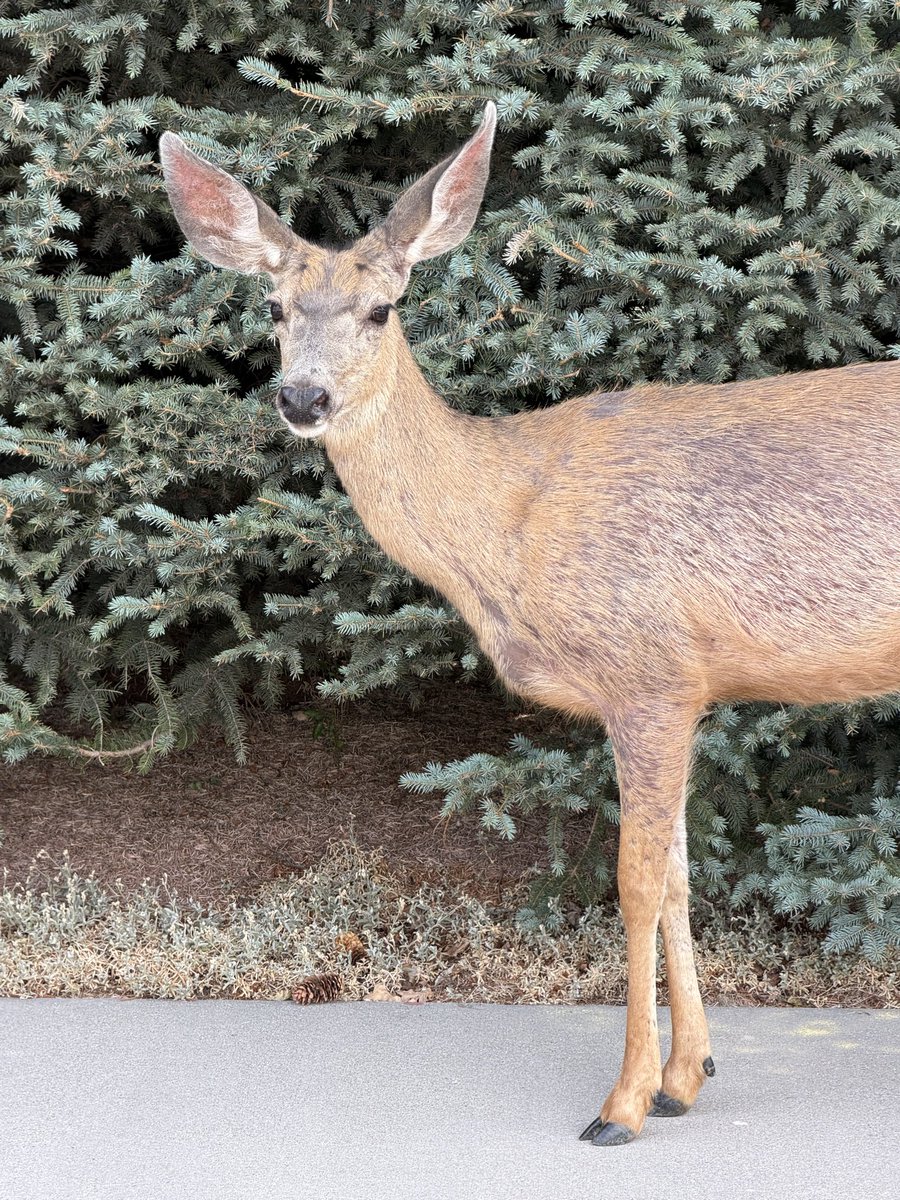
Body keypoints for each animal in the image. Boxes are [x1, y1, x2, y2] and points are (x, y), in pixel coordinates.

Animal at [160, 102, 900, 1147]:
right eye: (272, 308)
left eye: (380, 310)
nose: (302, 398)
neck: (511, 522)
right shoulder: (688, 691)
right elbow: (680, 875)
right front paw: (687, 1077)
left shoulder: (650, 672)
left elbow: (635, 884)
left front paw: (622, 1104)